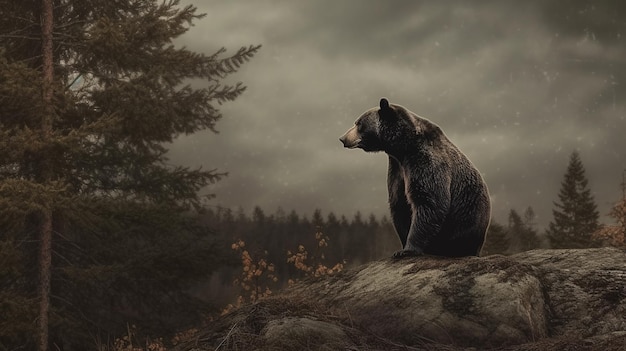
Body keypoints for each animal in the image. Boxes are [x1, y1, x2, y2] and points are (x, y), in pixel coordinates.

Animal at [338, 99, 490, 258]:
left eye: (358, 123)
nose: (342, 138)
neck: (402, 148)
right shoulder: (396, 170)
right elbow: (399, 204)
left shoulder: (424, 160)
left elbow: (429, 201)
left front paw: (406, 250)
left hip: (467, 221)